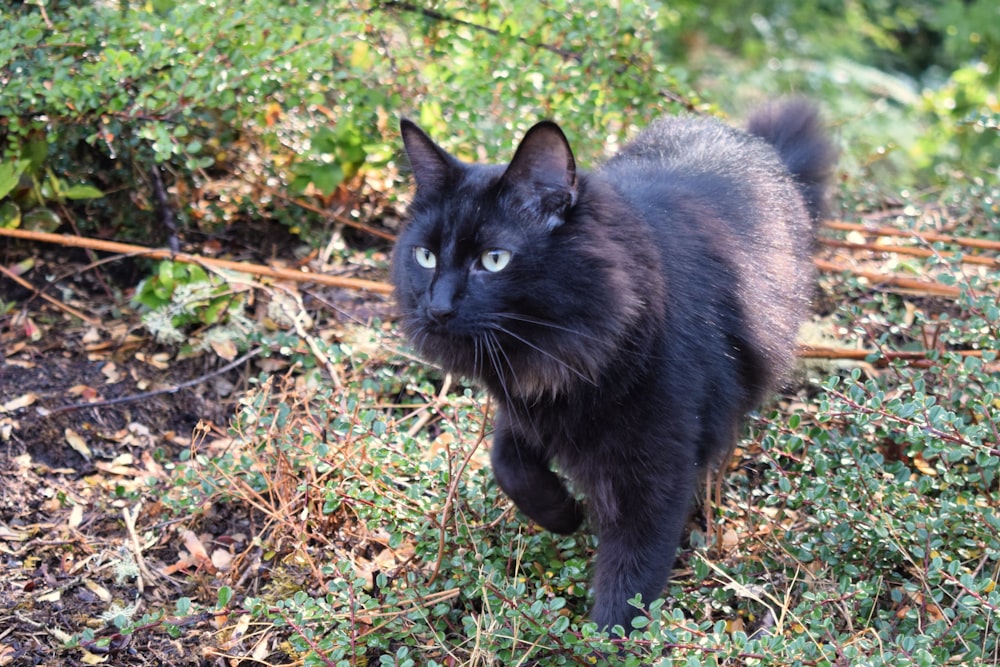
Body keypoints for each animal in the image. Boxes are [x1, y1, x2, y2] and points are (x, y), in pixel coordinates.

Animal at [390, 99, 836, 632]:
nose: (436, 308)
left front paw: (603, 638)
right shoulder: (525, 406)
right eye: (425, 255)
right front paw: (563, 515)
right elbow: (508, 464)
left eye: (494, 260)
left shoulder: (655, 470)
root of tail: (755, 143)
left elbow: (631, 577)